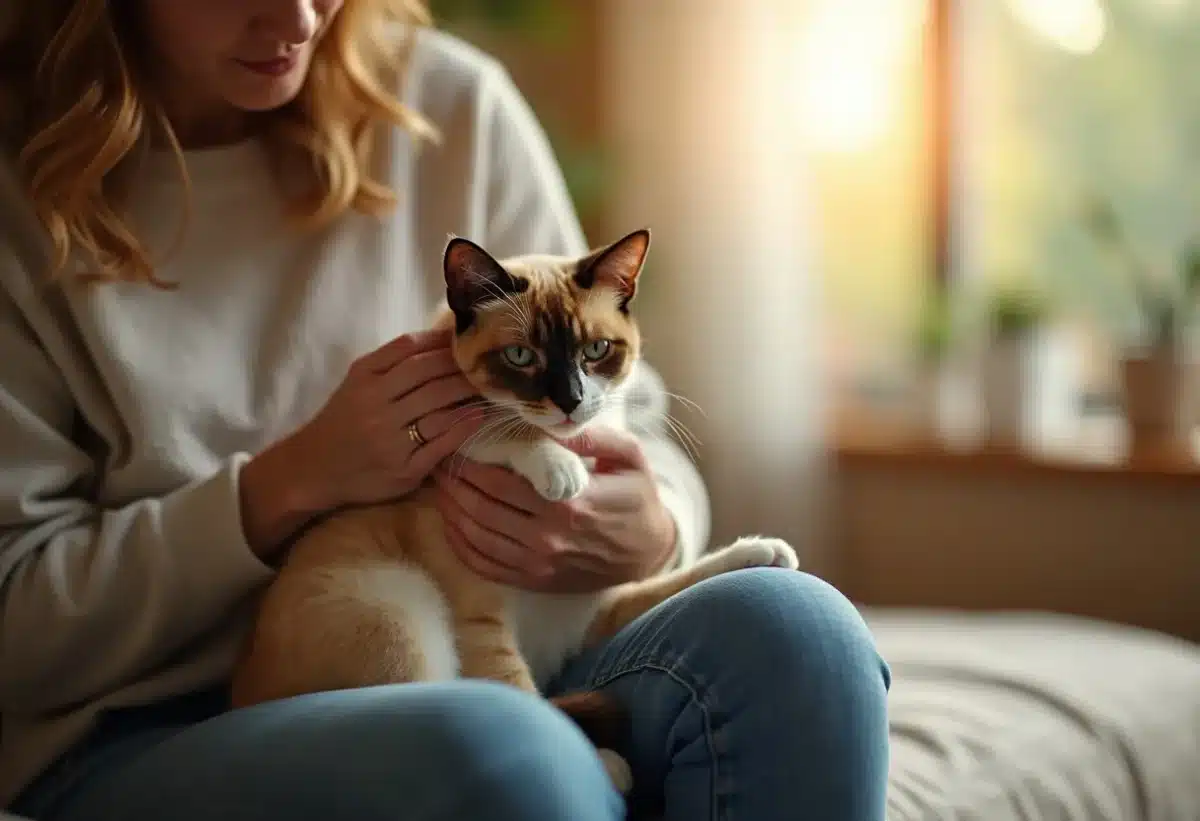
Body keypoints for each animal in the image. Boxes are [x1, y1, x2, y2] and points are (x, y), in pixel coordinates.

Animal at [229, 228, 801, 792]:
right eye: (521, 357)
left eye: (596, 350)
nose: (571, 401)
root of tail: (238, 695)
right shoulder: (481, 622)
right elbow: (496, 428)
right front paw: (559, 469)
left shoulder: (588, 615)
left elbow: (670, 582)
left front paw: (764, 553)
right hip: (397, 613)